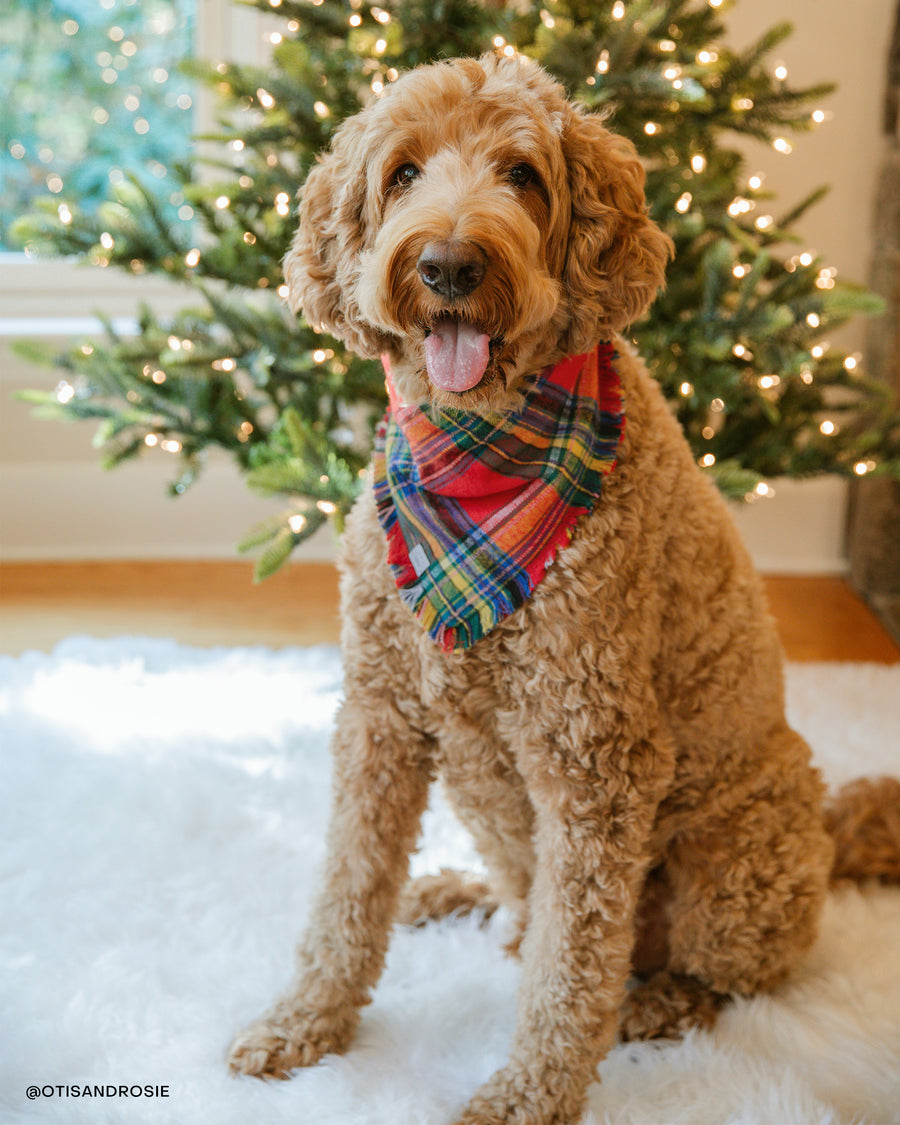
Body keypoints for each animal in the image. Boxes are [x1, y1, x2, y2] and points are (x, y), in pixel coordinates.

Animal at [227, 50, 900, 1125]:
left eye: (523, 176)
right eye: (403, 174)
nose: (448, 266)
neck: (481, 448)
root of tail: (832, 835)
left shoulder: (593, 754)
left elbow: (573, 959)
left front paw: (529, 1090)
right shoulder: (379, 713)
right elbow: (348, 889)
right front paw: (305, 1023)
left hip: (737, 858)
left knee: (718, 970)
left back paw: (658, 1001)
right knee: (517, 900)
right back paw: (453, 896)